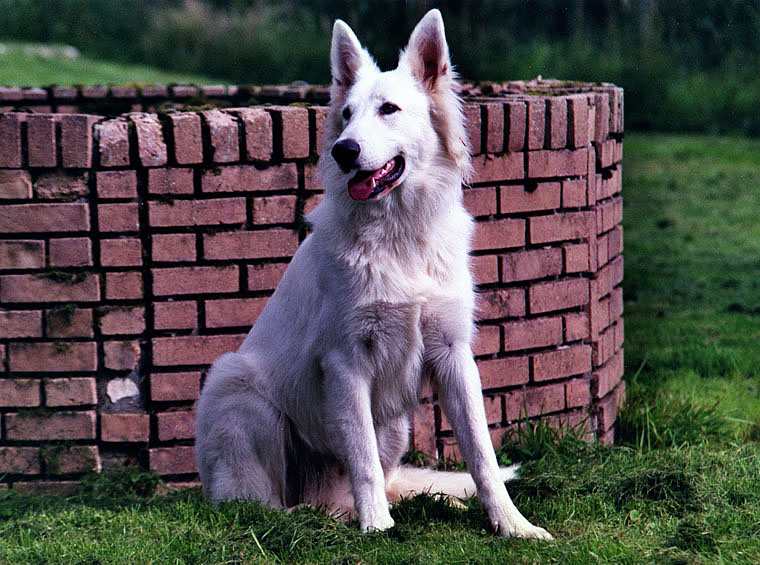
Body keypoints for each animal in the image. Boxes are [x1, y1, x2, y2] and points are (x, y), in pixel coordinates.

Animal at [195, 9, 552, 540]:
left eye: (388, 109)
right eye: (346, 115)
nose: (343, 151)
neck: (401, 237)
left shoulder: (454, 356)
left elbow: (481, 455)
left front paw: (511, 524)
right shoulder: (346, 363)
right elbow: (361, 457)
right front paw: (378, 530)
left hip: (395, 425)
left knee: (374, 488)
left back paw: (430, 507)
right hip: (239, 389)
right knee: (262, 503)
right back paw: (319, 517)